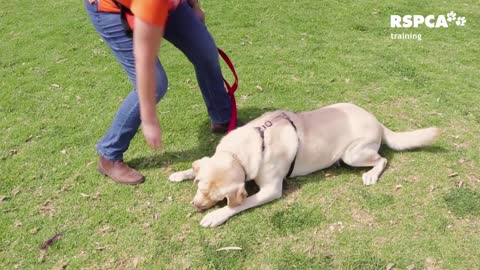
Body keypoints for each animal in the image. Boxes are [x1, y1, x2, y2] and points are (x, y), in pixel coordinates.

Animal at [168, 102, 438, 227]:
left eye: (219, 197)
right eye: (199, 186)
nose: (196, 206)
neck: (240, 152)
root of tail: (378, 121)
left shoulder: (271, 190)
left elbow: (239, 205)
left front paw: (216, 216)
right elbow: (196, 164)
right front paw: (180, 173)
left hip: (354, 154)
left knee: (382, 159)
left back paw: (371, 175)